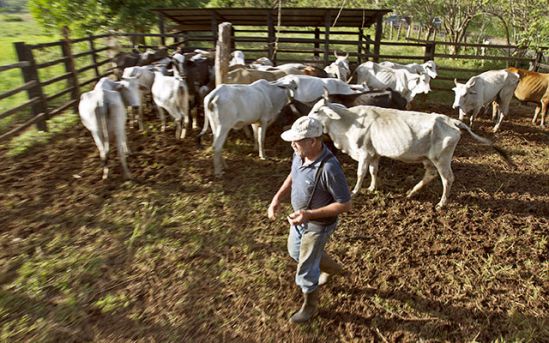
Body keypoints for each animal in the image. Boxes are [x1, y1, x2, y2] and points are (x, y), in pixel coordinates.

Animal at [306, 97, 512, 210]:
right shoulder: (374, 154)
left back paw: (441, 203)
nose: (304, 120)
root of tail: (452, 121)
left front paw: (355, 191)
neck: (348, 122)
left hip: (441, 159)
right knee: (430, 175)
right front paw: (372, 187)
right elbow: (373, 171)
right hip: (428, 159)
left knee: (447, 179)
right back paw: (411, 192)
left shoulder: (364, 153)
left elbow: (361, 173)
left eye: (316, 111)